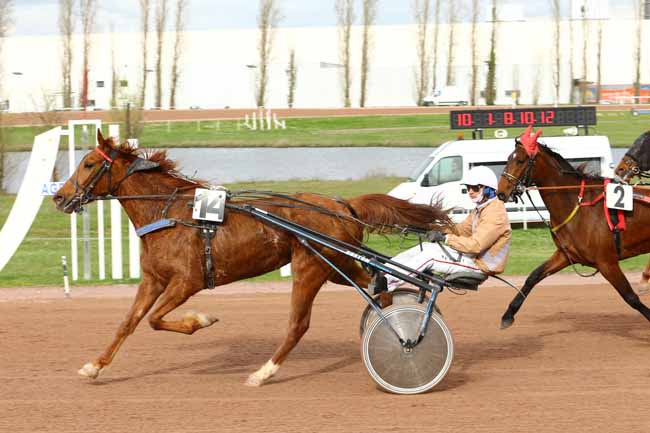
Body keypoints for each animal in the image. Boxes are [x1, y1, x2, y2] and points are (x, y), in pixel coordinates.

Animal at [52, 131, 450, 386]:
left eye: (89, 163)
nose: (58, 197)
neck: (168, 212)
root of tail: (342, 205)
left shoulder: (187, 282)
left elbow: (155, 320)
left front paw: (202, 320)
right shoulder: (154, 279)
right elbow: (129, 322)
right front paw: (94, 367)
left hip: (310, 267)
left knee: (299, 324)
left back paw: (264, 372)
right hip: (336, 264)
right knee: (378, 288)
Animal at [496, 125, 650, 329]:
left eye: (520, 160)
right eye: (507, 159)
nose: (500, 192)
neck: (577, 205)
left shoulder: (607, 263)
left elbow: (630, 297)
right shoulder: (566, 254)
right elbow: (533, 276)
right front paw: (508, 314)